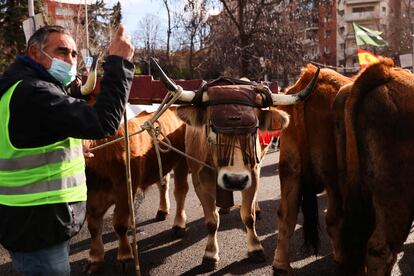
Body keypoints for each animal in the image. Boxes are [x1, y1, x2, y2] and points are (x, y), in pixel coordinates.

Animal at [83, 108, 189, 272]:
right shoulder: (92, 198)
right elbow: (93, 227)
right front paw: (94, 258)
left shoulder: (125, 191)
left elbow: (119, 224)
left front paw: (125, 256)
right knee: (163, 184)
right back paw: (163, 211)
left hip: (181, 160)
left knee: (180, 192)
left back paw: (179, 225)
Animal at [272, 64, 352, 274]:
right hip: (333, 175)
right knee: (333, 218)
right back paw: (342, 258)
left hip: (290, 169)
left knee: (286, 214)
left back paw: (281, 265)